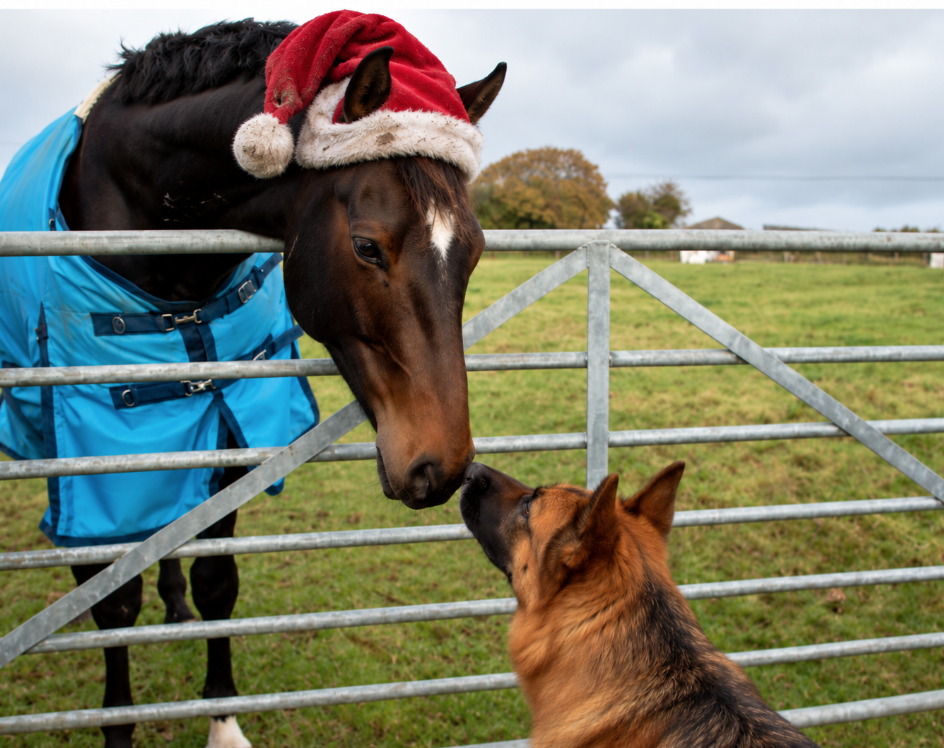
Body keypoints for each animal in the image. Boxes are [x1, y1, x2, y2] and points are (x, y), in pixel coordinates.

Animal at [6, 16, 504, 748]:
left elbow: (217, 580)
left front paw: (221, 720)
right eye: (366, 247)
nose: (440, 466)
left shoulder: (225, 426)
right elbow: (110, 601)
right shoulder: (87, 456)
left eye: (473, 252)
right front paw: (118, 725)